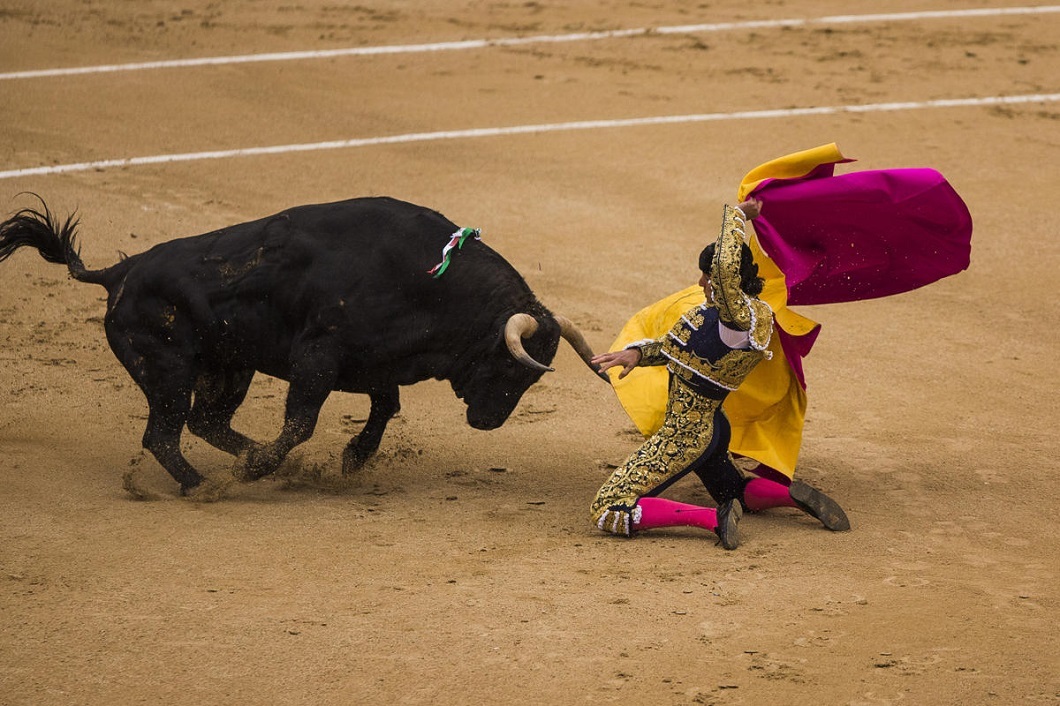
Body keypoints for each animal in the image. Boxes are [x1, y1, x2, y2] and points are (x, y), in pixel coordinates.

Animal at [0, 195, 606, 491]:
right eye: (510, 367)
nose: (487, 423)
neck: (427, 280)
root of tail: (116, 273)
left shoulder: (375, 363)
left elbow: (385, 407)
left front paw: (352, 459)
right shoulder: (317, 359)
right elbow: (302, 422)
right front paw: (264, 468)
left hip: (228, 368)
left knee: (205, 422)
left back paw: (245, 467)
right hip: (168, 371)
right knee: (163, 434)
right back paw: (209, 484)